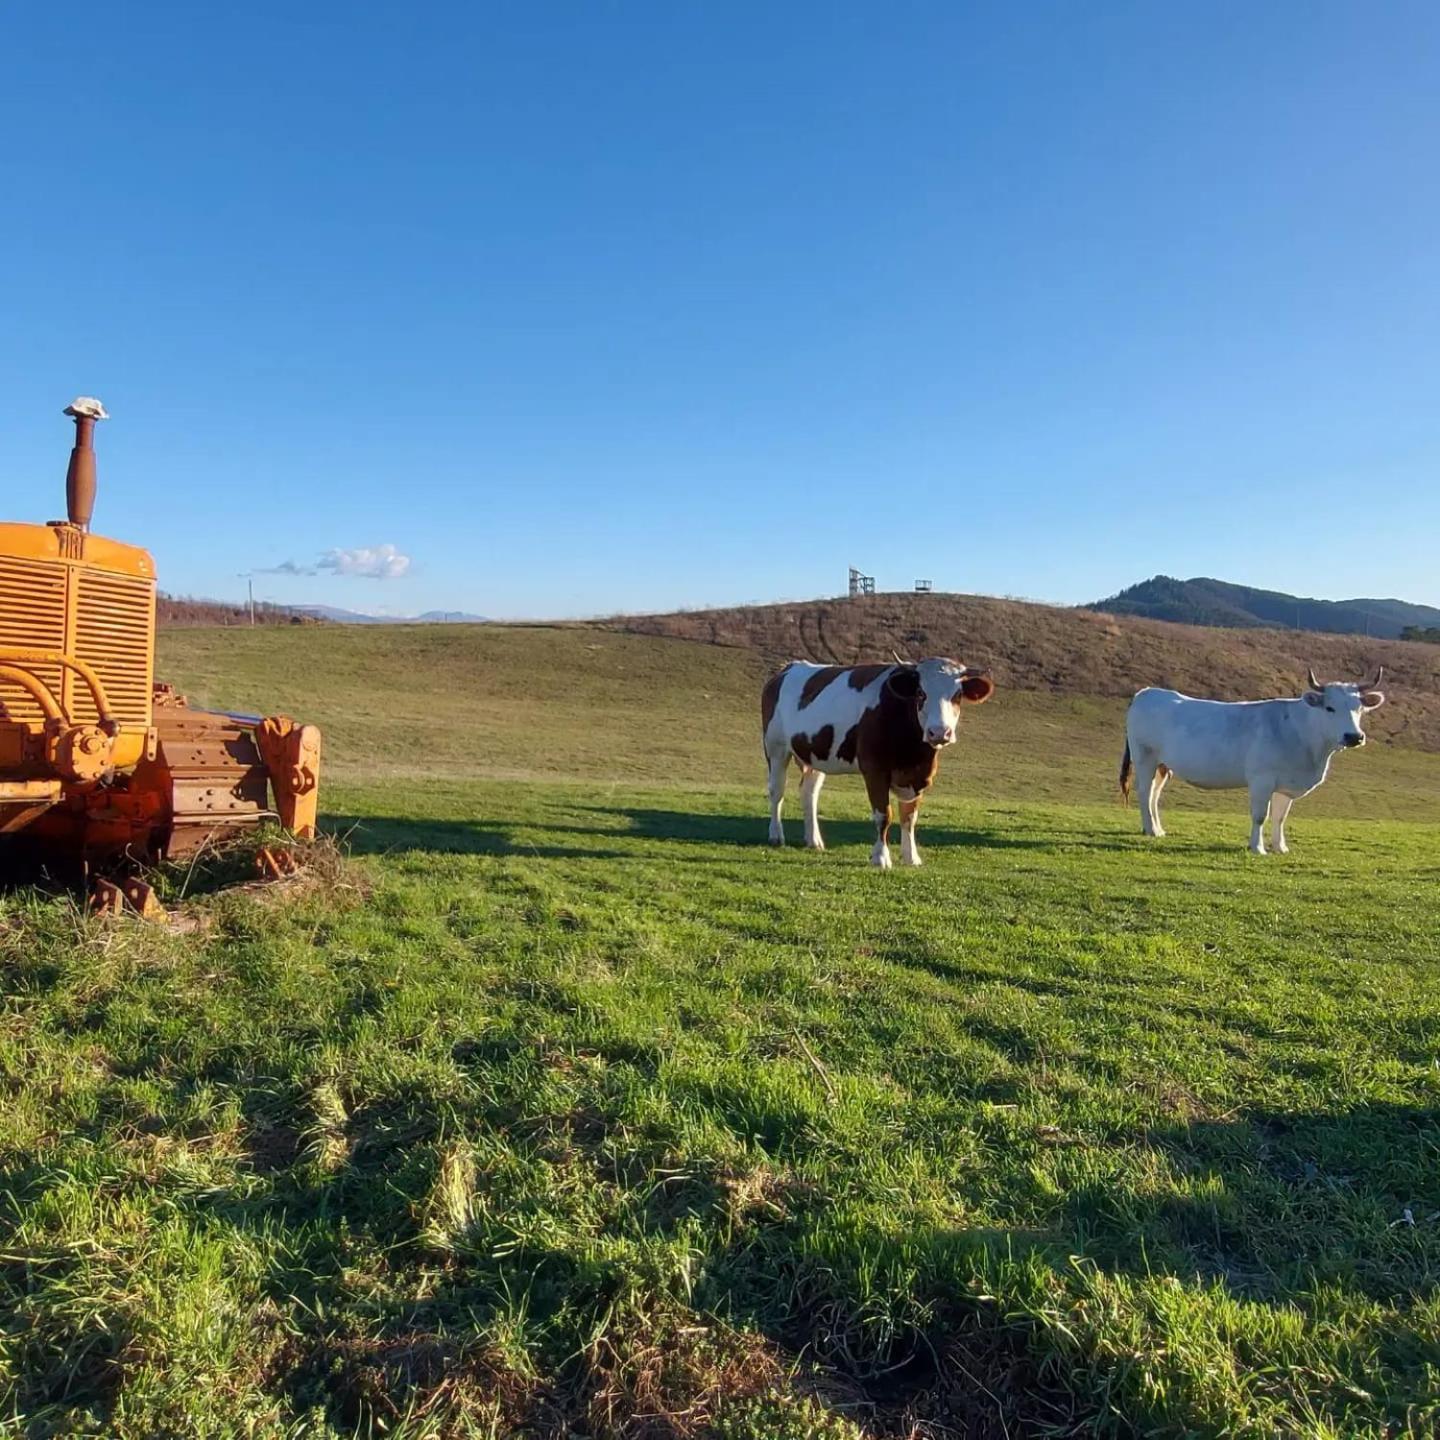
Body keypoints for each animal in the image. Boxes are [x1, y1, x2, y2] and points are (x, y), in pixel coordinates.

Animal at [760, 656, 996, 864]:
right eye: (921, 693)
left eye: (958, 695)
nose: (939, 732)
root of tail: (788, 668)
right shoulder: (875, 770)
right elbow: (884, 815)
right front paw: (881, 857)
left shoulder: (917, 777)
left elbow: (909, 817)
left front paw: (911, 857)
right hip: (776, 747)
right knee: (777, 791)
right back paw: (775, 835)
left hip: (814, 757)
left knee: (809, 793)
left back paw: (814, 840)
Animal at [1117, 665, 1388, 846]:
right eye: (1330, 708)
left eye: (1360, 708)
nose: (1354, 736)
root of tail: (1146, 692)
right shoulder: (1261, 779)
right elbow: (1260, 816)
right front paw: (1257, 847)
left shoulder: (1286, 783)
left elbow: (1280, 817)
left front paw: (1280, 847)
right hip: (1144, 757)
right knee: (1144, 792)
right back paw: (1150, 829)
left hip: (1163, 764)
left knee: (1154, 794)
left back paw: (1158, 829)